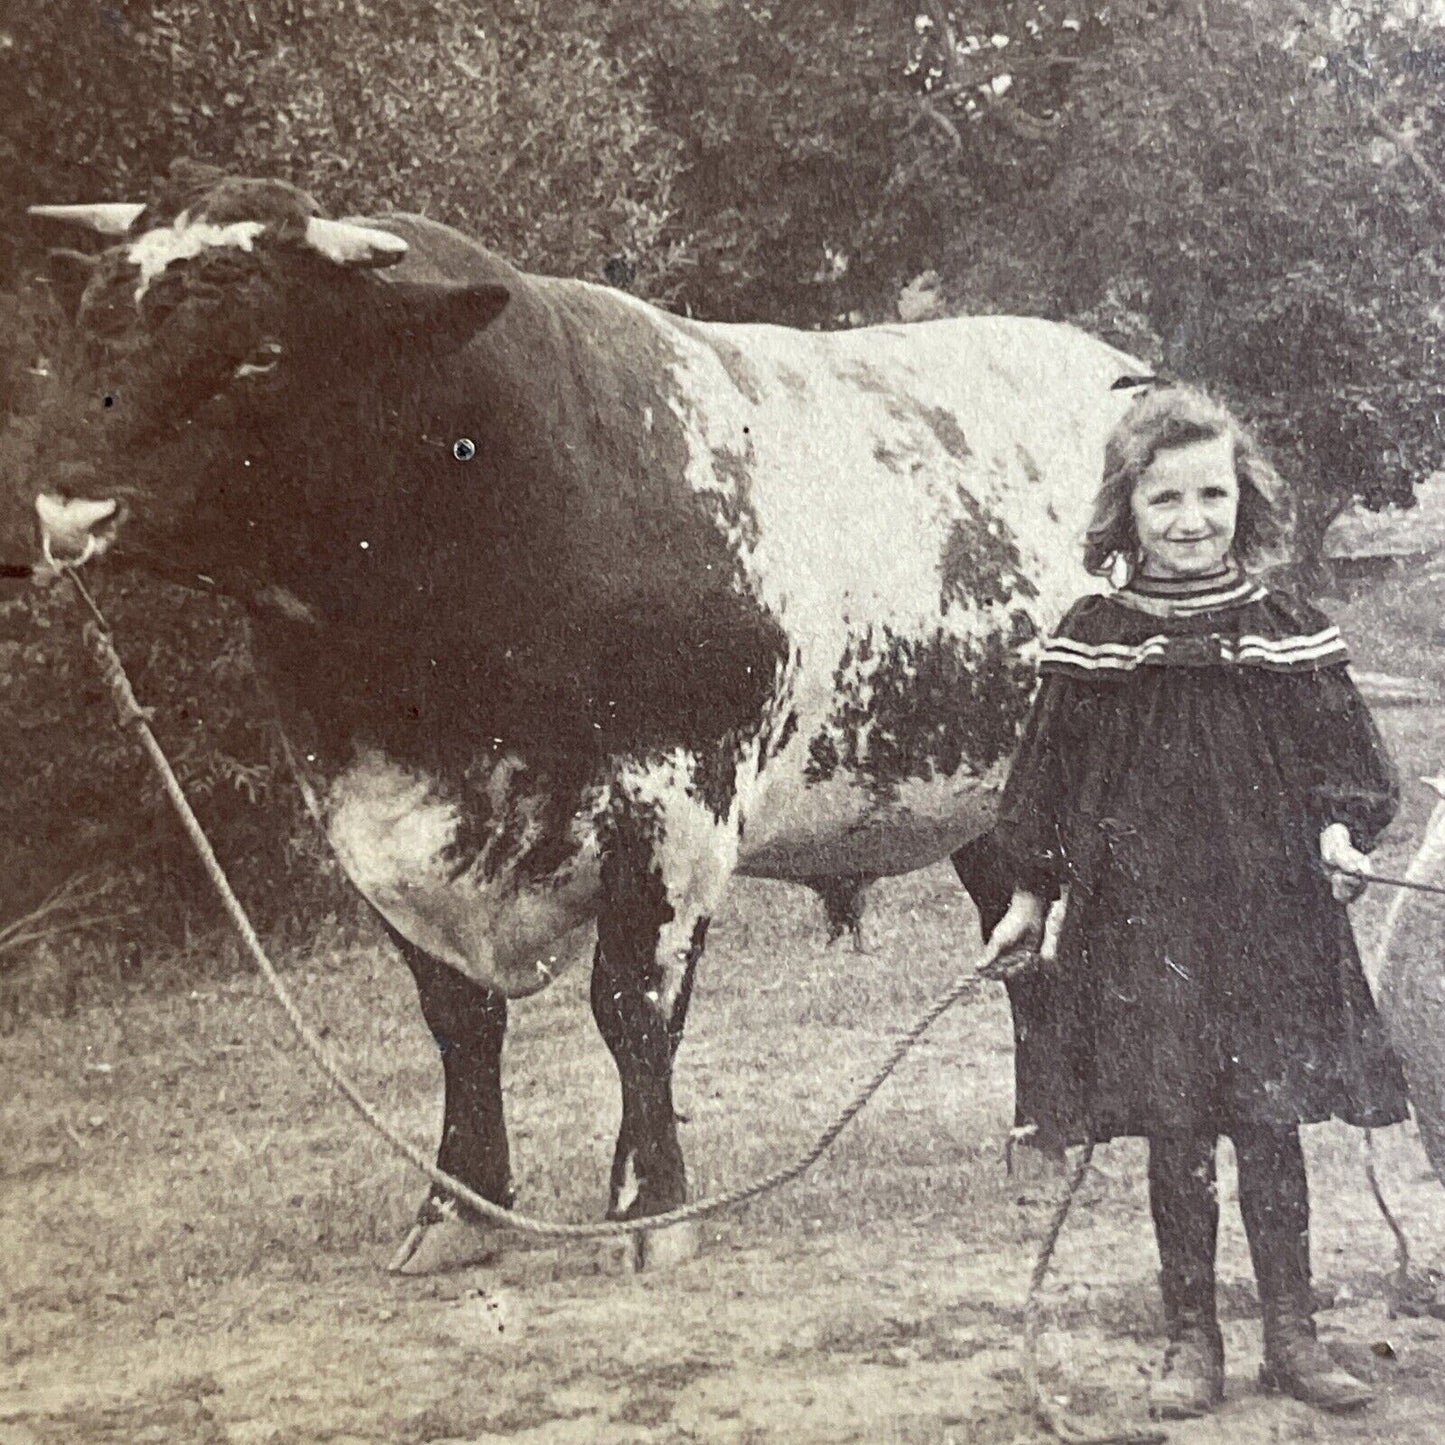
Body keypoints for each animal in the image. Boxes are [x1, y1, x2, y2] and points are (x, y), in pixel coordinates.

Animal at [25, 164, 1147, 1275]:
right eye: (88, 325)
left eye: (259, 353)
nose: (67, 504)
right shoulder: (368, 819)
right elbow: (458, 1017)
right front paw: (460, 1206)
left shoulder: (675, 803)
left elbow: (632, 1007)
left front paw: (651, 1205)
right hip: (990, 797)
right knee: (1014, 931)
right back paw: (1040, 1135)